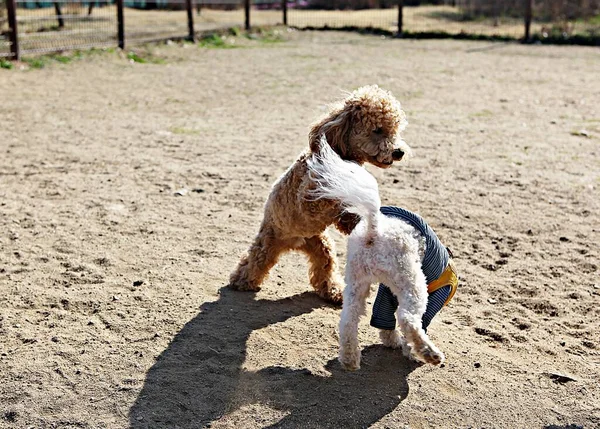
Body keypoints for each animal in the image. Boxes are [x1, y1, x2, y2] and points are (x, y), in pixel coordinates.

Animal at [310, 139, 446, 370]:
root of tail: (374, 231)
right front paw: (411, 351)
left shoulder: (386, 293)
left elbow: (383, 320)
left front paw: (393, 341)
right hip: (411, 281)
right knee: (408, 318)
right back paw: (430, 353)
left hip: (357, 281)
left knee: (348, 320)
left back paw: (349, 358)